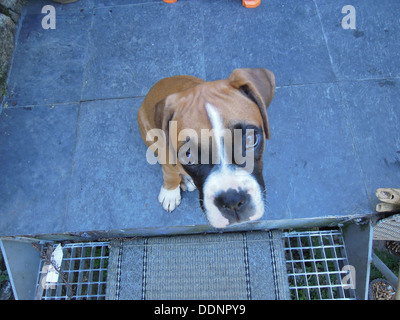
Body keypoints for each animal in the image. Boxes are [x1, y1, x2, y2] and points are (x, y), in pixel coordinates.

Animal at [138, 67, 276, 228]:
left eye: (250, 139)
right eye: (188, 155)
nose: (232, 201)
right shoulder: (165, 154)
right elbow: (170, 174)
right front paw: (170, 193)